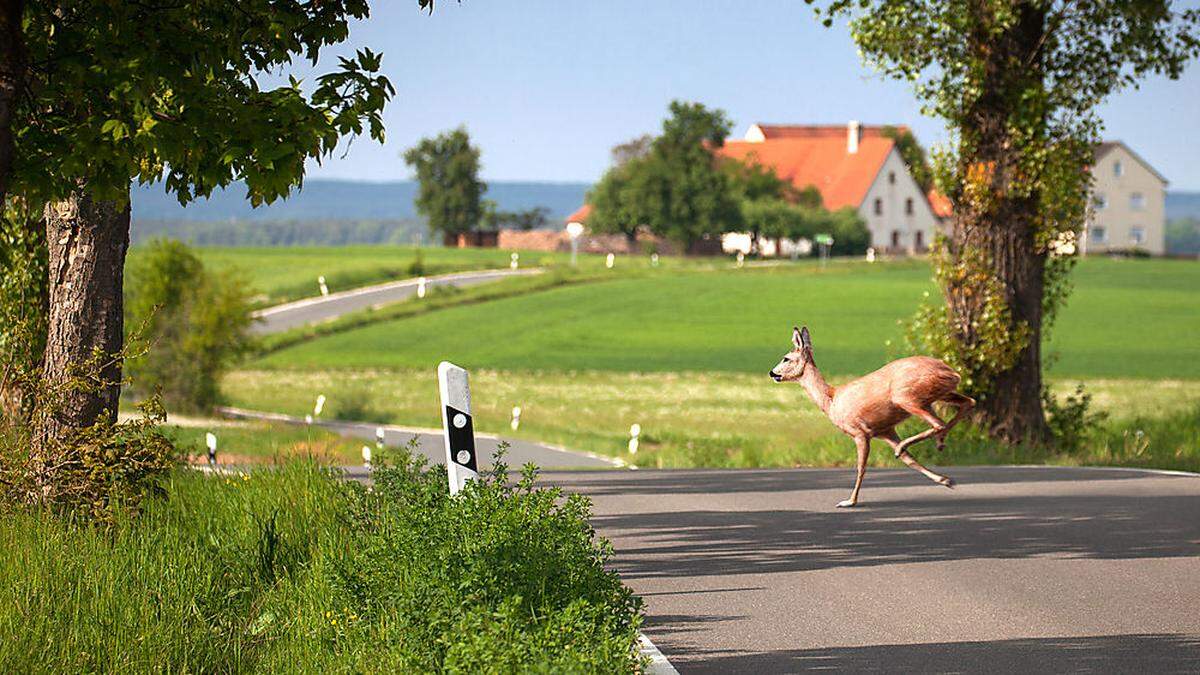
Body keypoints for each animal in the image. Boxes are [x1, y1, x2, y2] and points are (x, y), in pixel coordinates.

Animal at [768, 326, 974, 504]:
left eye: (786, 358)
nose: (772, 373)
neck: (832, 401)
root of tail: (953, 372)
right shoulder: (885, 431)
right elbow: (910, 461)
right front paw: (945, 480)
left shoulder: (859, 432)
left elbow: (861, 467)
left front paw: (850, 501)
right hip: (934, 396)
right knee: (968, 403)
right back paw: (936, 444)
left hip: (906, 397)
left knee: (939, 422)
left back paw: (917, 445)